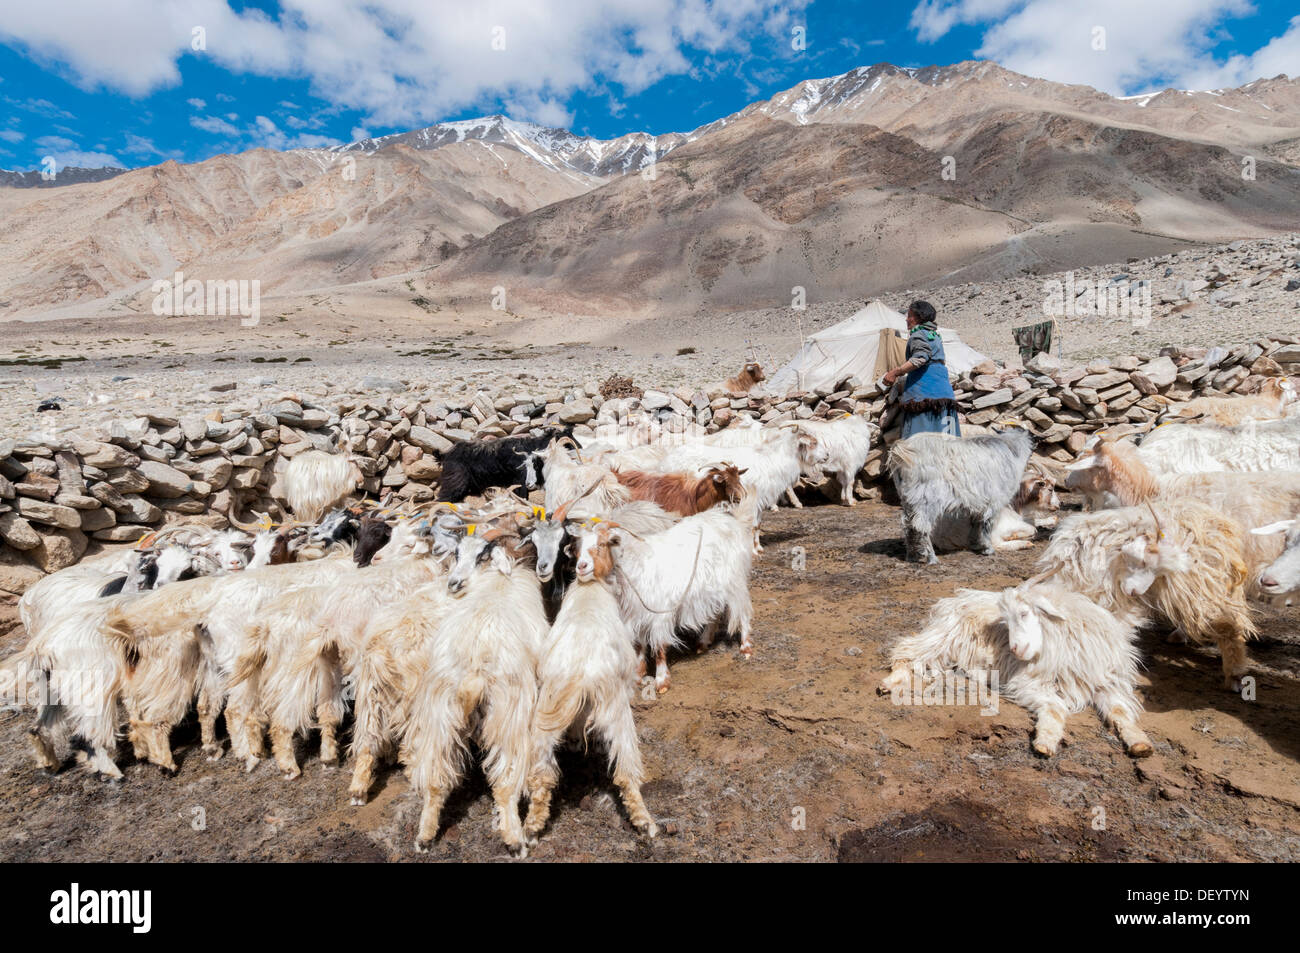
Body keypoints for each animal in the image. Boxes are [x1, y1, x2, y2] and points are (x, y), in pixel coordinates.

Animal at [878, 579, 1154, 759]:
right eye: (1006, 620)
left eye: (1024, 613)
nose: (1015, 649)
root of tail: (954, 599)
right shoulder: (1028, 683)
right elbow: (1055, 707)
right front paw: (1045, 741)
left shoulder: (1108, 684)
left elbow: (1120, 711)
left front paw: (1139, 742)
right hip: (944, 638)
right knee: (905, 650)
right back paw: (890, 683)